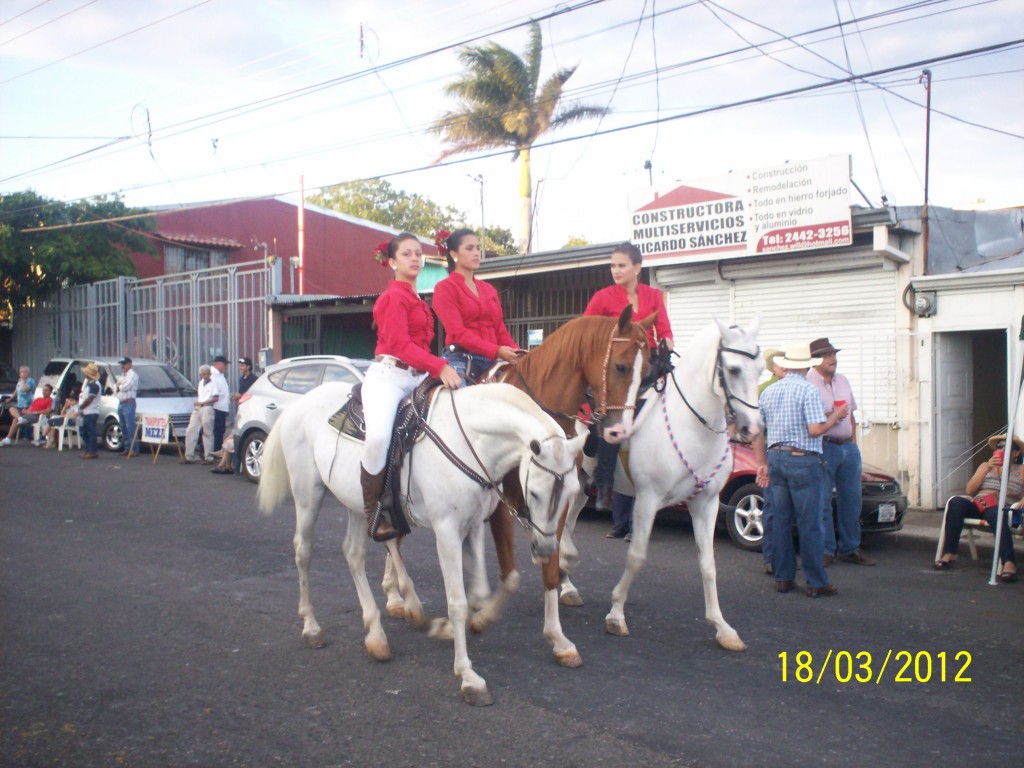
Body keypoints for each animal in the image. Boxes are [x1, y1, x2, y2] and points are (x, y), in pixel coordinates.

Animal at [258, 382, 585, 708]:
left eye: (573, 491)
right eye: (535, 492)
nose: (546, 550)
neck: (469, 442)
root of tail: (300, 401)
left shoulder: (473, 526)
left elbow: (479, 592)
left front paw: (458, 627)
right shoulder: (447, 531)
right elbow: (457, 602)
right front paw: (467, 675)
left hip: (357, 505)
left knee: (353, 554)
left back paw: (376, 635)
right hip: (308, 494)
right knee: (303, 552)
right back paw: (312, 626)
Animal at [561, 319, 761, 651]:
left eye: (760, 369)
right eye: (733, 369)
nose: (753, 428)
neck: (690, 426)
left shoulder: (706, 504)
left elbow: (708, 563)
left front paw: (722, 627)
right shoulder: (647, 500)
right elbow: (637, 556)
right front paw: (616, 614)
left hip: (581, 487)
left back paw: (566, 585)